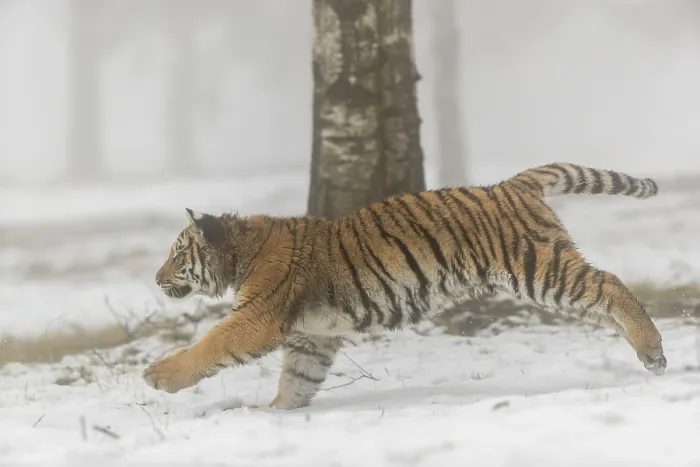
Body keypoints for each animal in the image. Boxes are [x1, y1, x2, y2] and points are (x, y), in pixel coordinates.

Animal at [144, 162, 667, 410]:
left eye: (178, 255)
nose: (155, 278)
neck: (241, 252)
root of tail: (511, 184)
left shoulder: (259, 316)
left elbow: (211, 344)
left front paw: (158, 375)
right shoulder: (313, 335)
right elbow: (298, 381)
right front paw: (276, 416)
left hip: (538, 267)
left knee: (610, 283)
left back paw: (653, 348)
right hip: (548, 277)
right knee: (601, 301)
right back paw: (647, 354)